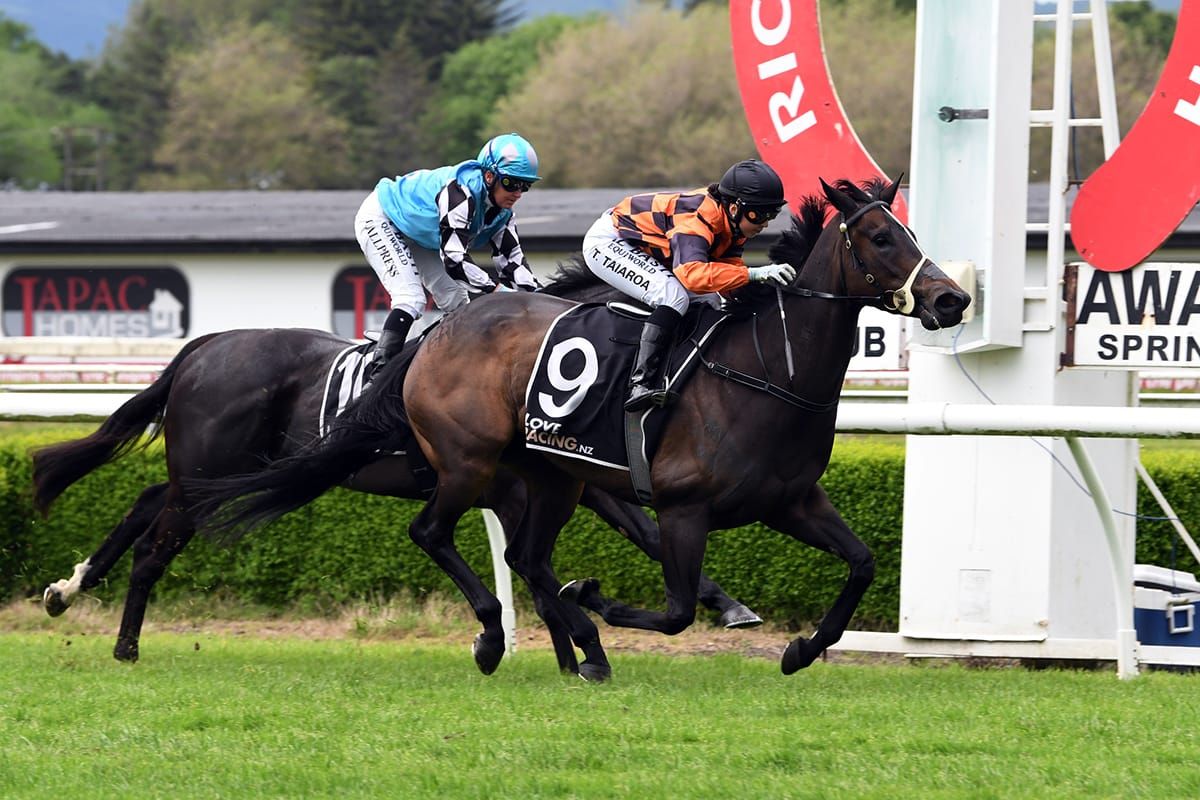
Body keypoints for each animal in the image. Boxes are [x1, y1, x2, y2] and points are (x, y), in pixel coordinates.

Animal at [32, 328, 761, 679]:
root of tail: (204, 346)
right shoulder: (518, 486)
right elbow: (544, 562)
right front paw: (546, 645)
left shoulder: (563, 482)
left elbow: (620, 538)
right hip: (211, 471)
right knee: (155, 545)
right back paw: (124, 643)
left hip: (213, 474)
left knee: (146, 503)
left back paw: (67, 589)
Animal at [192, 177, 971, 676]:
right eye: (881, 236)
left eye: (912, 233)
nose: (952, 298)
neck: (763, 374)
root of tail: (439, 335)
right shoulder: (683, 508)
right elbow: (675, 609)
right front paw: (593, 598)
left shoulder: (790, 501)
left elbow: (862, 563)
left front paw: (801, 649)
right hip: (468, 462)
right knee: (433, 532)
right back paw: (501, 638)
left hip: (550, 478)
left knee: (524, 555)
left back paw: (575, 646)